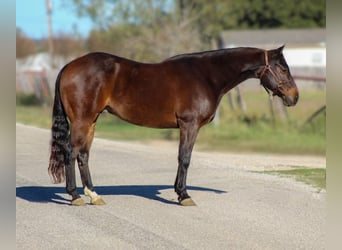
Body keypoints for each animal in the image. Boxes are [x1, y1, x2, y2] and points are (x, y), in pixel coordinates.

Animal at [48, 46, 300, 206]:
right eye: (282, 68)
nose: (294, 97)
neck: (206, 75)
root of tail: (69, 66)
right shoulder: (189, 125)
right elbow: (185, 158)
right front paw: (184, 195)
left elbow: (183, 159)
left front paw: (180, 193)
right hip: (81, 121)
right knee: (70, 153)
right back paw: (75, 197)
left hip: (91, 121)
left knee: (83, 156)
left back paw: (94, 195)